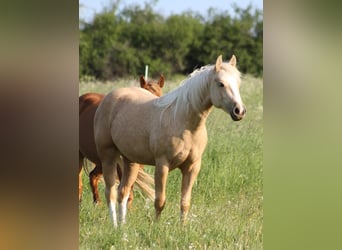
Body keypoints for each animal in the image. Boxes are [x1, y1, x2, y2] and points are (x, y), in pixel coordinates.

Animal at [93, 55, 246, 227]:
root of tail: (109, 98)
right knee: (110, 192)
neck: (183, 122)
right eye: (221, 83)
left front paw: (182, 228)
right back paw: (114, 226)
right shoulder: (162, 165)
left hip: (130, 161)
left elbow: (185, 202)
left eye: (238, 83)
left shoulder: (192, 167)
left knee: (123, 192)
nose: (239, 111)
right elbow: (160, 201)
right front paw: (156, 227)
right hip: (108, 156)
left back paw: (123, 227)